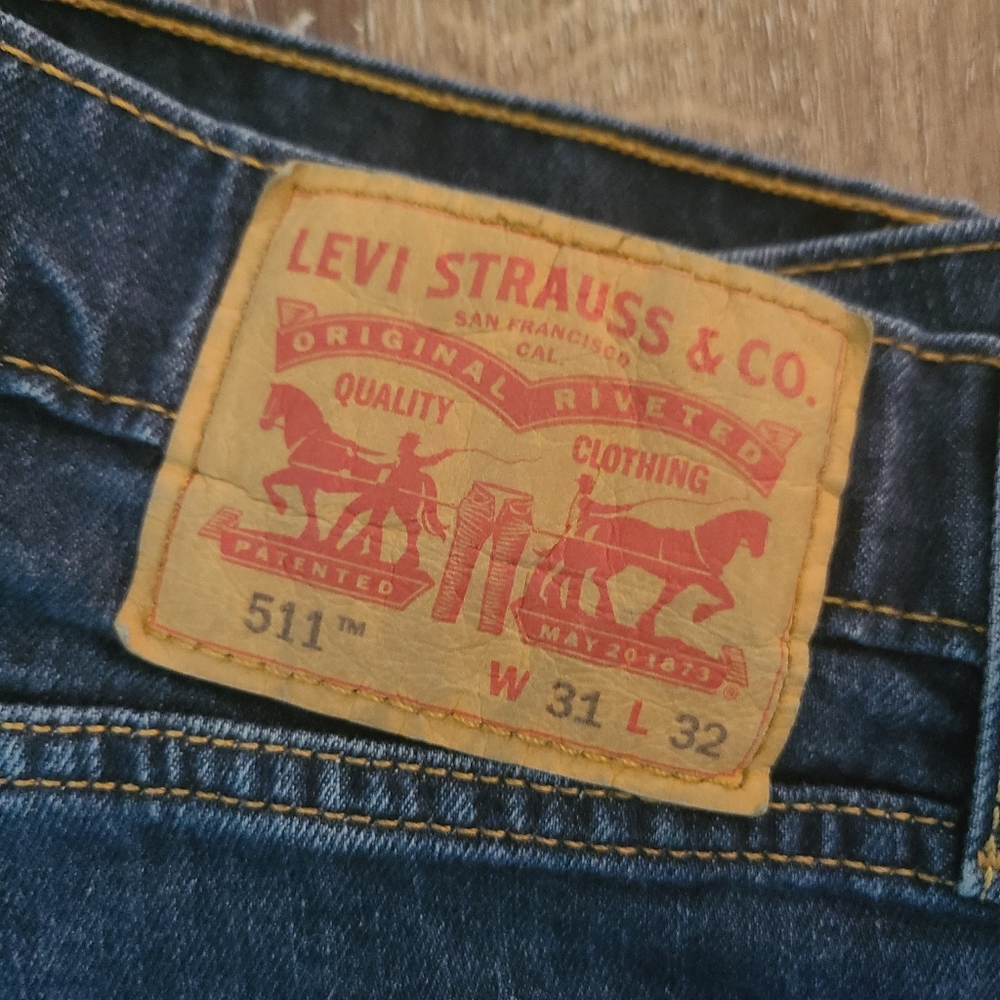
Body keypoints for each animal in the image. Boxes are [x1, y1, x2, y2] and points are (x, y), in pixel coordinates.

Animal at [259, 383, 387, 544]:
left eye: (273, 401)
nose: (263, 423)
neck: (310, 437)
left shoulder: (303, 479)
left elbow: (308, 506)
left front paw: (308, 533)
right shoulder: (300, 478)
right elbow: (268, 480)